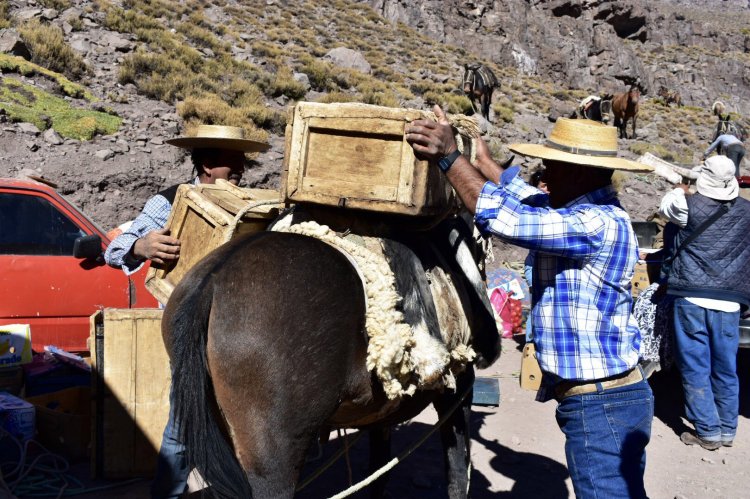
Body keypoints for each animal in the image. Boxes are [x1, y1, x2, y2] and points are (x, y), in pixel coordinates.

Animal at [167, 225, 502, 498]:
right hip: (272, 459)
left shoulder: (383, 411)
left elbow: (379, 472)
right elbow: (457, 472)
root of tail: (214, 281)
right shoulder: (459, 389)